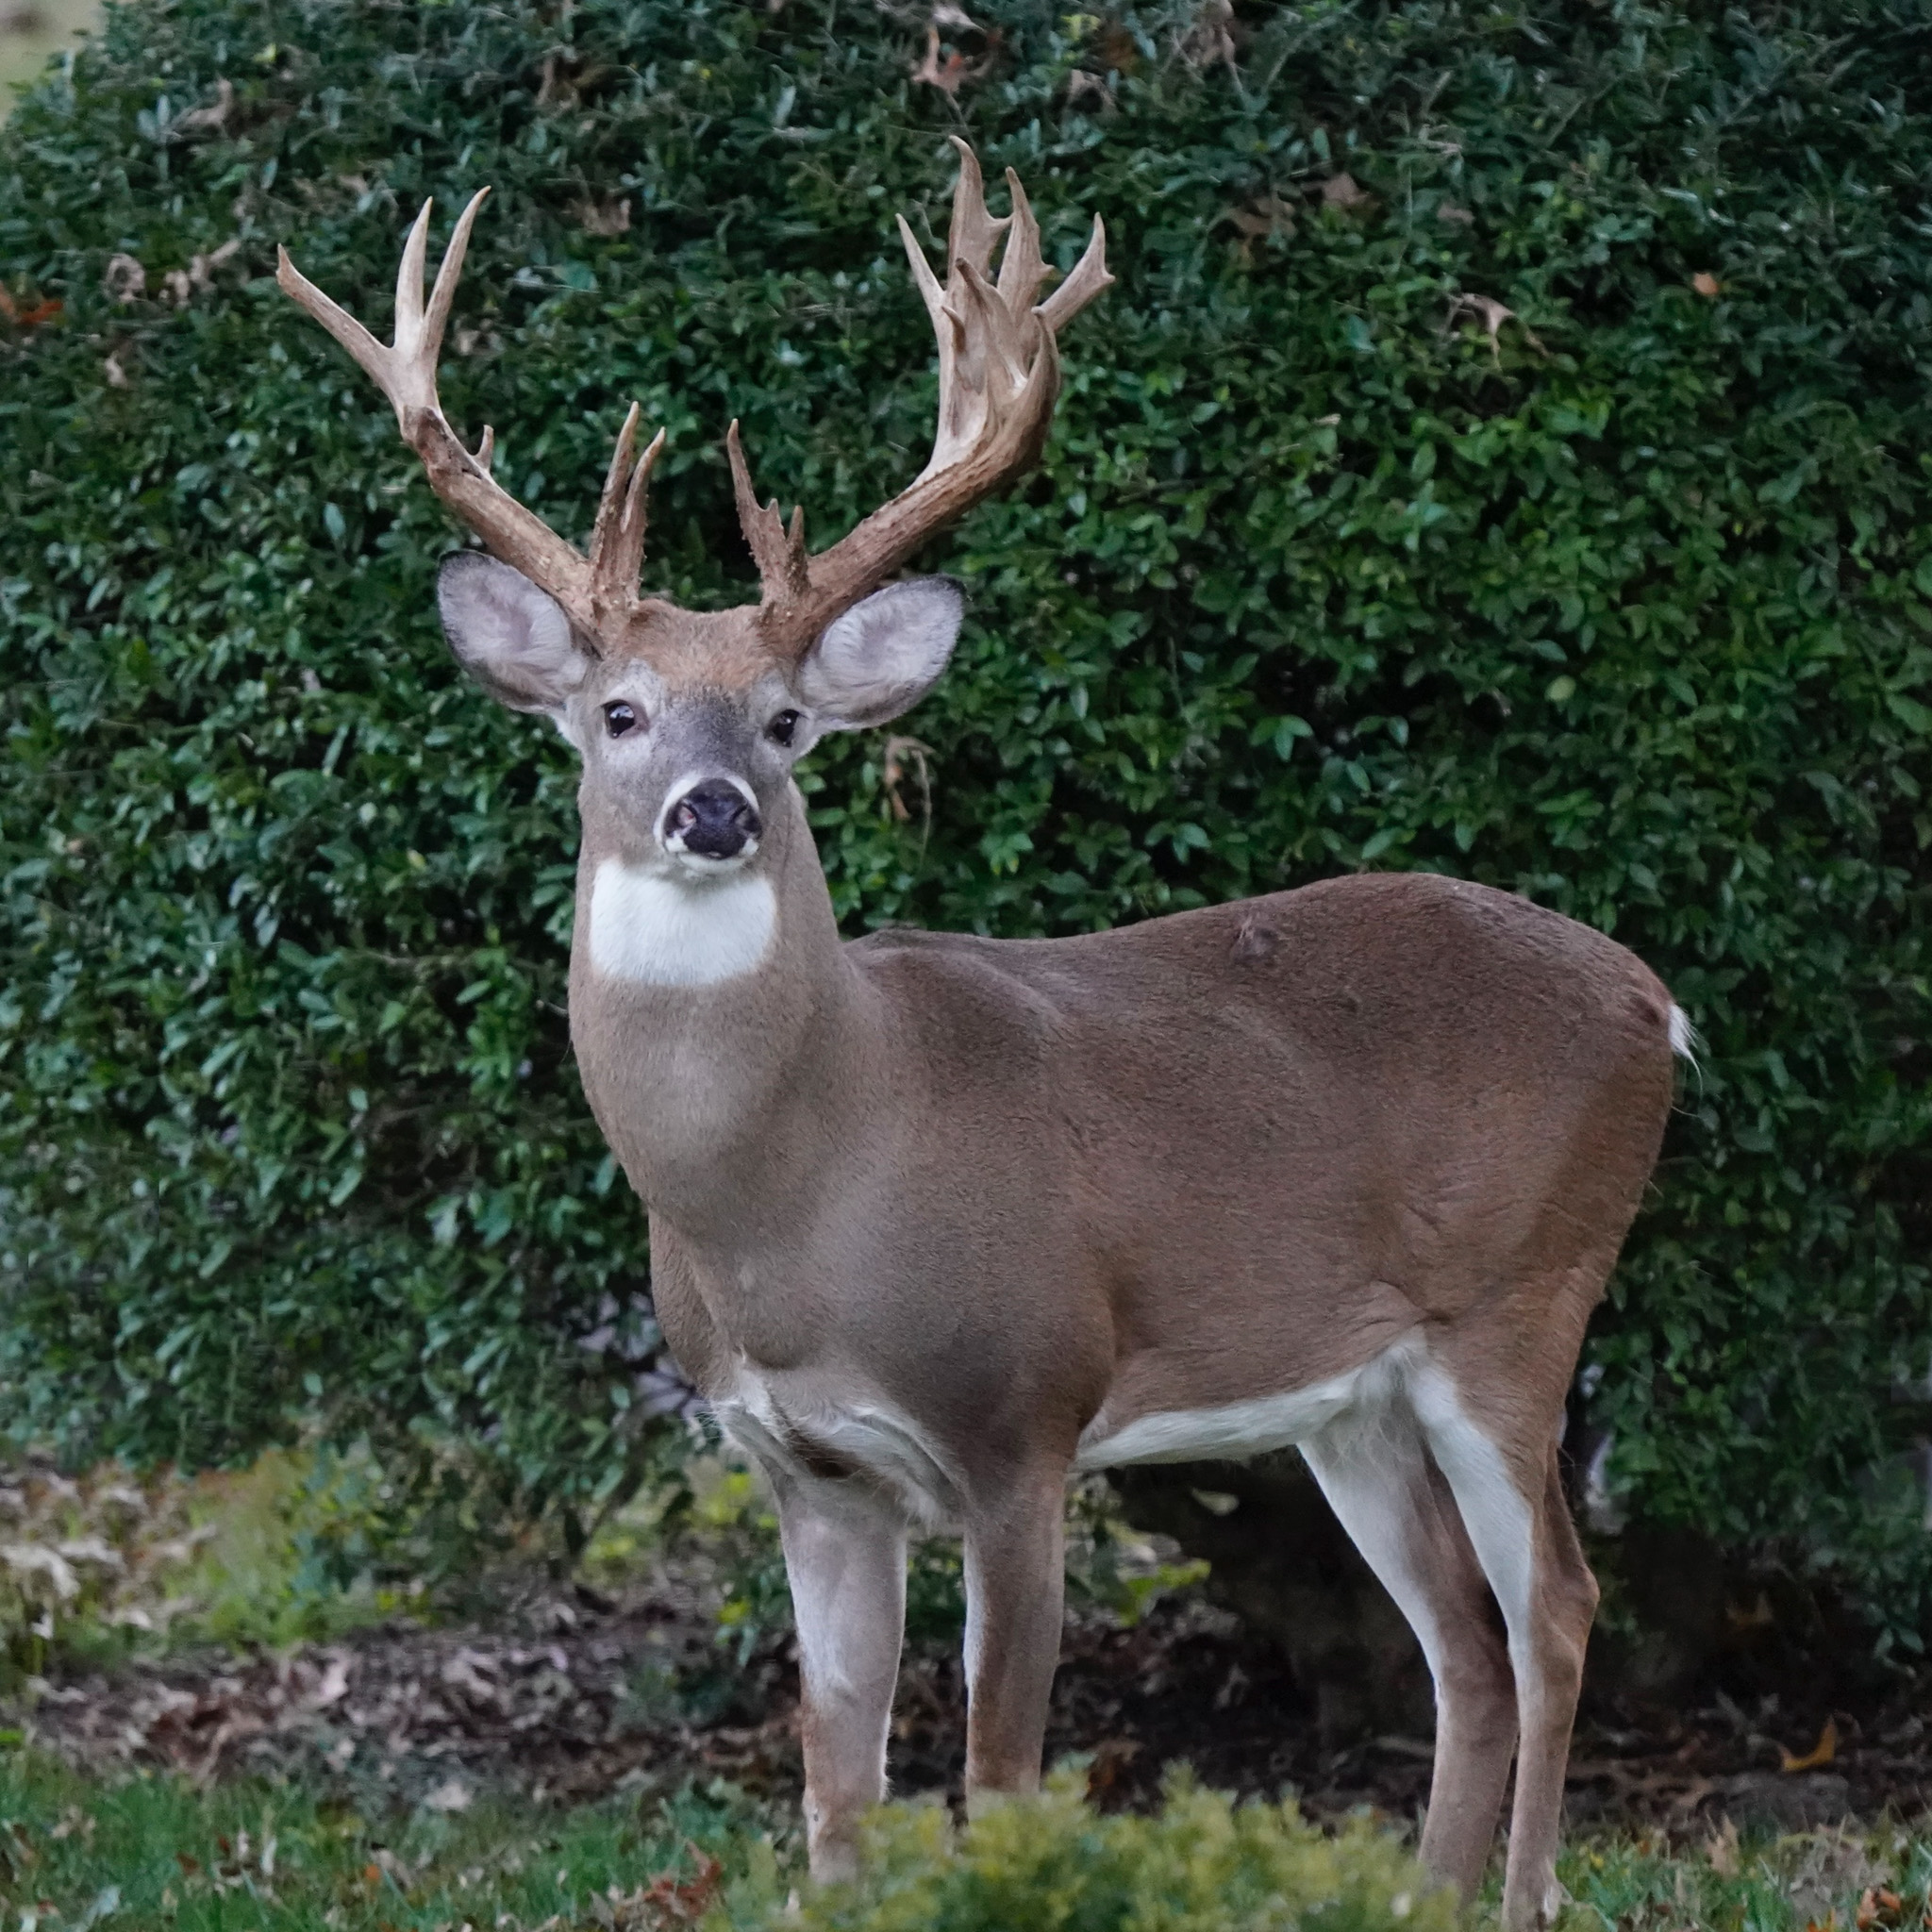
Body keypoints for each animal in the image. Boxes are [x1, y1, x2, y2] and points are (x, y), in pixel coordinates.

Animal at [278, 142, 1687, 1931]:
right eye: (616, 712)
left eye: (787, 720)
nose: (714, 805)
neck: (798, 1193)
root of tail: (1653, 999)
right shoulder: (801, 1466)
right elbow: (835, 1789)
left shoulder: (1024, 1416)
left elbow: (999, 1776)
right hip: (1346, 1392)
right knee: (1461, 1642)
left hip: (1520, 1299)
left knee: (1555, 1608)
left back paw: (1520, 1894)